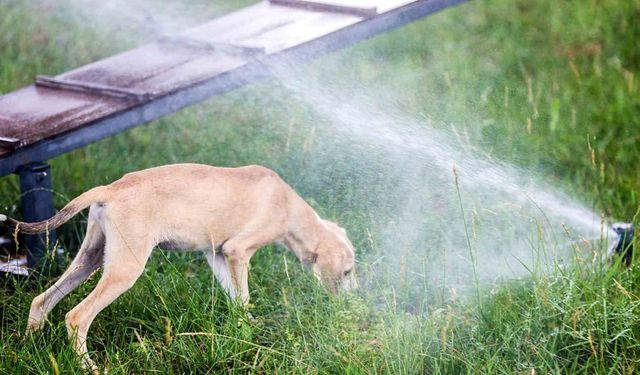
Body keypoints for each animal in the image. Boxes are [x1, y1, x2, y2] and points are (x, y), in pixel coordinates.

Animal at [2, 164, 358, 370]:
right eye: (348, 272)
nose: (353, 303)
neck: (289, 206)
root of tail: (111, 189)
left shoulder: (218, 255)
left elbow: (238, 303)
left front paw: (246, 334)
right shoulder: (238, 251)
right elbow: (243, 297)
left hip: (89, 259)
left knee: (41, 301)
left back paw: (28, 347)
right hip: (125, 269)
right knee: (77, 317)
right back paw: (87, 366)